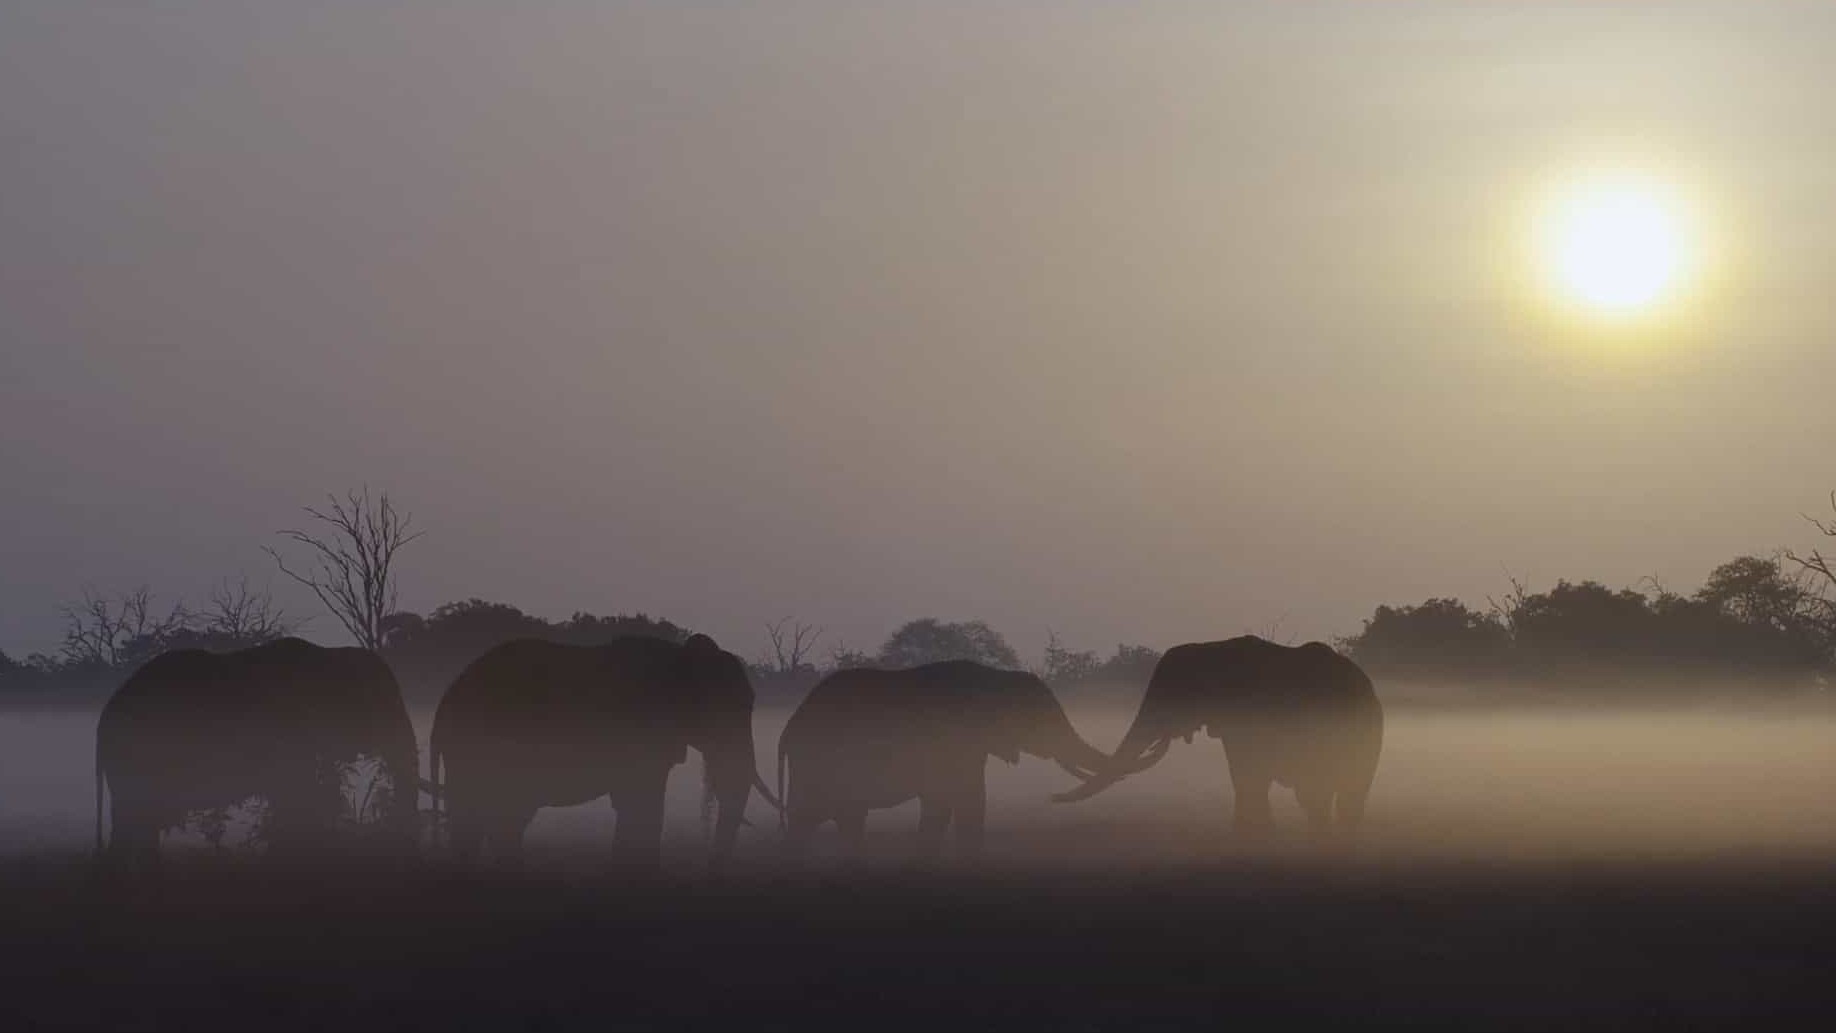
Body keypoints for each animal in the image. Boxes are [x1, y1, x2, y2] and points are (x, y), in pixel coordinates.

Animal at [771, 664, 1108, 858]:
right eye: (1041, 719)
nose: (1052, 797)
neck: (994, 676)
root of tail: (788, 729)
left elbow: (948, 808)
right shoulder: (953, 744)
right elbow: (963, 803)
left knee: (836, 821)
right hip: (819, 763)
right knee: (817, 820)